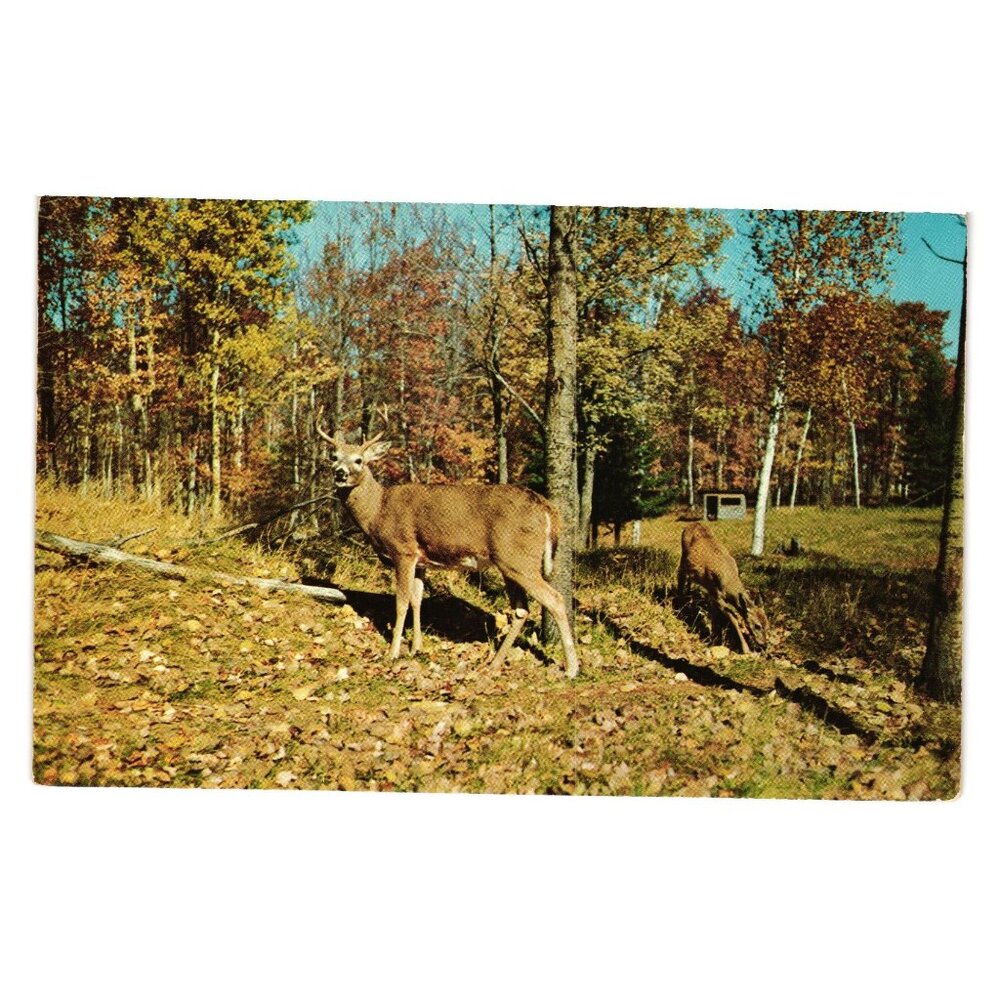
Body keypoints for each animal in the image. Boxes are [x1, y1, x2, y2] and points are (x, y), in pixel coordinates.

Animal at [316, 411, 579, 678]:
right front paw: (416, 648)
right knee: (521, 608)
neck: (378, 510)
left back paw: (571, 669)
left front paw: (393, 652)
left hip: (518, 559)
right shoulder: (421, 560)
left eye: (359, 460)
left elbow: (401, 602)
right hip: (510, 562)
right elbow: (417, 600)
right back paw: (494, 663)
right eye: (334, 457)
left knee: (555, 599)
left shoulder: (403, 550)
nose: (340, 473)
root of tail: (547, 508)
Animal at [676, 522, 768, 655]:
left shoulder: (712, 594)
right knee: (680, 576)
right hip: (683, 558)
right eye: (757, 625)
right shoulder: (717, 596)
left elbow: (715, 615)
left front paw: (714, 638)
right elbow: (734, 618)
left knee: (689, 580)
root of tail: (693, 524)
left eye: (767, 625)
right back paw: (679, 604)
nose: (764, 645)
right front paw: (746, 649)